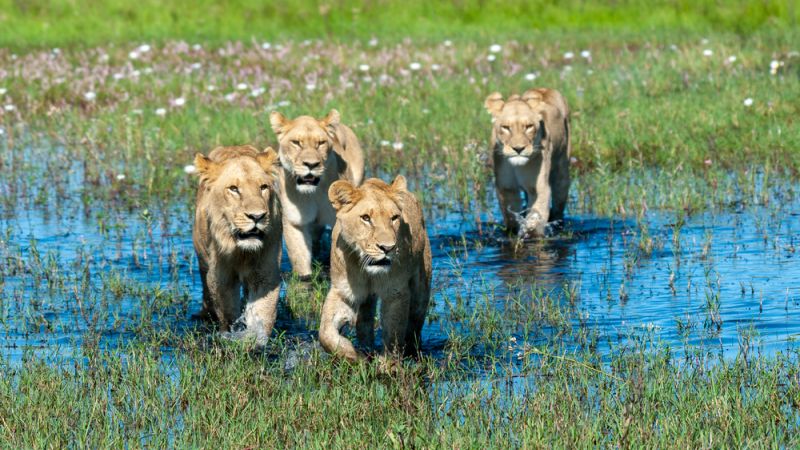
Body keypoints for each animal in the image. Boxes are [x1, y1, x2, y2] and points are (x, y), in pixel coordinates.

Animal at [192, 145, 282, 342]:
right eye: (234, 189)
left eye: (263, 187)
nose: (257, 216)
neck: (242, 252)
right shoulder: (221, 275)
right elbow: (227, 311)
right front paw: (232, 334)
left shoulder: (265, 272)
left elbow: (263, 312)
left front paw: (257, 339)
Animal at [269, 109, 365, 279]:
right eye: (296, 142)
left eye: (320, 143)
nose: (311, 164)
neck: (313, 194)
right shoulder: (295, 221)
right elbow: (300, 257)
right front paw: (306, 278)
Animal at [319, 176, 432, 361]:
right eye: (366, 218)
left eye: (394, 217)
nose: (387, 248)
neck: (368, 272)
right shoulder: (343, 291)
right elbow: (325, 333)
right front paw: (353, 356)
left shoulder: (395, 293)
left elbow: (393, 334)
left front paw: (388, 364)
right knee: (364, 321)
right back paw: (366, 349)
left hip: (421, 287)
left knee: (415, 321)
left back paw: (412, 351)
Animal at [484, 88, 571, 238]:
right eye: (506, 127)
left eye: (529, 127)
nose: (518, 148)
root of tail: (545, 88)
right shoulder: (506, 187)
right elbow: (511, 216)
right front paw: (513, 233)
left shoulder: (539, 188)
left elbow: (535, 220)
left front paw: (530, 237)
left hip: (562, 170)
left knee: (559, 203)